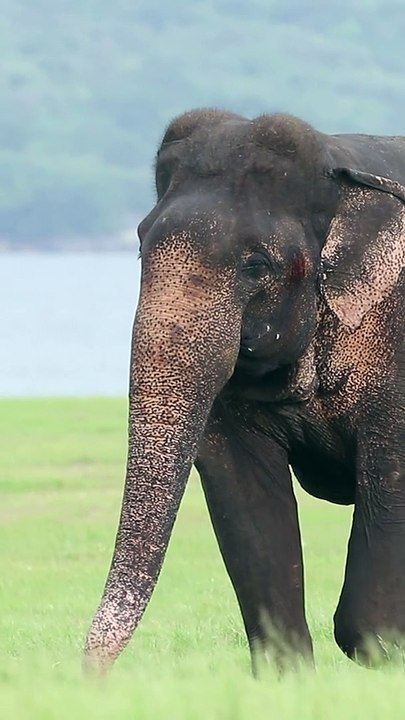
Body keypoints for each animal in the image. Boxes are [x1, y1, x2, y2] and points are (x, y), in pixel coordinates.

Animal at [84, 109, 405, 674]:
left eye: (258, 265)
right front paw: (286, 675)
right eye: (141, 247)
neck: (338, 159)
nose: (87, 676)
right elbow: (243, 493)